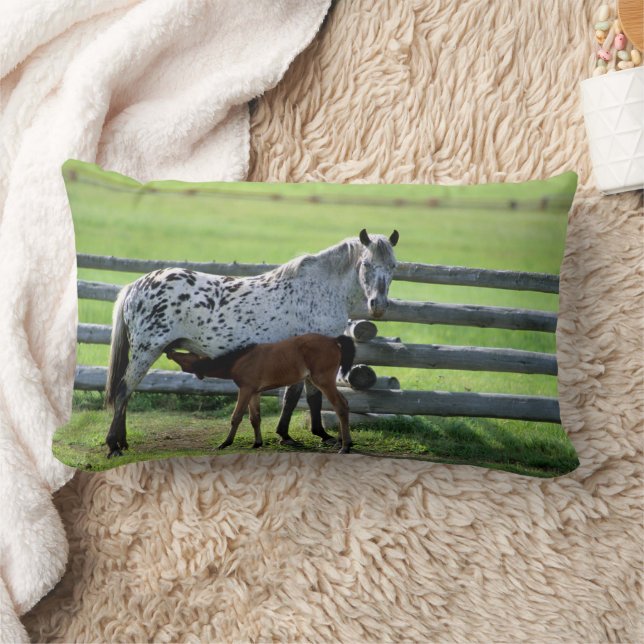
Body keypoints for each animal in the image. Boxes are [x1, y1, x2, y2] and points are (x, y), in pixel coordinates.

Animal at [166, 334, 356, 453]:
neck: (240, 360)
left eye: (186, 355)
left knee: (340, 405)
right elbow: (255, 418)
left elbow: (236, 417)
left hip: (322, 380)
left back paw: (345, 446)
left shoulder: (245, 389)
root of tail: (334, 340)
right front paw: (257, 443)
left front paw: (225, 443)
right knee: (344, 403)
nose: (169, 350)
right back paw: (341, 442)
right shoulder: (254, 392)